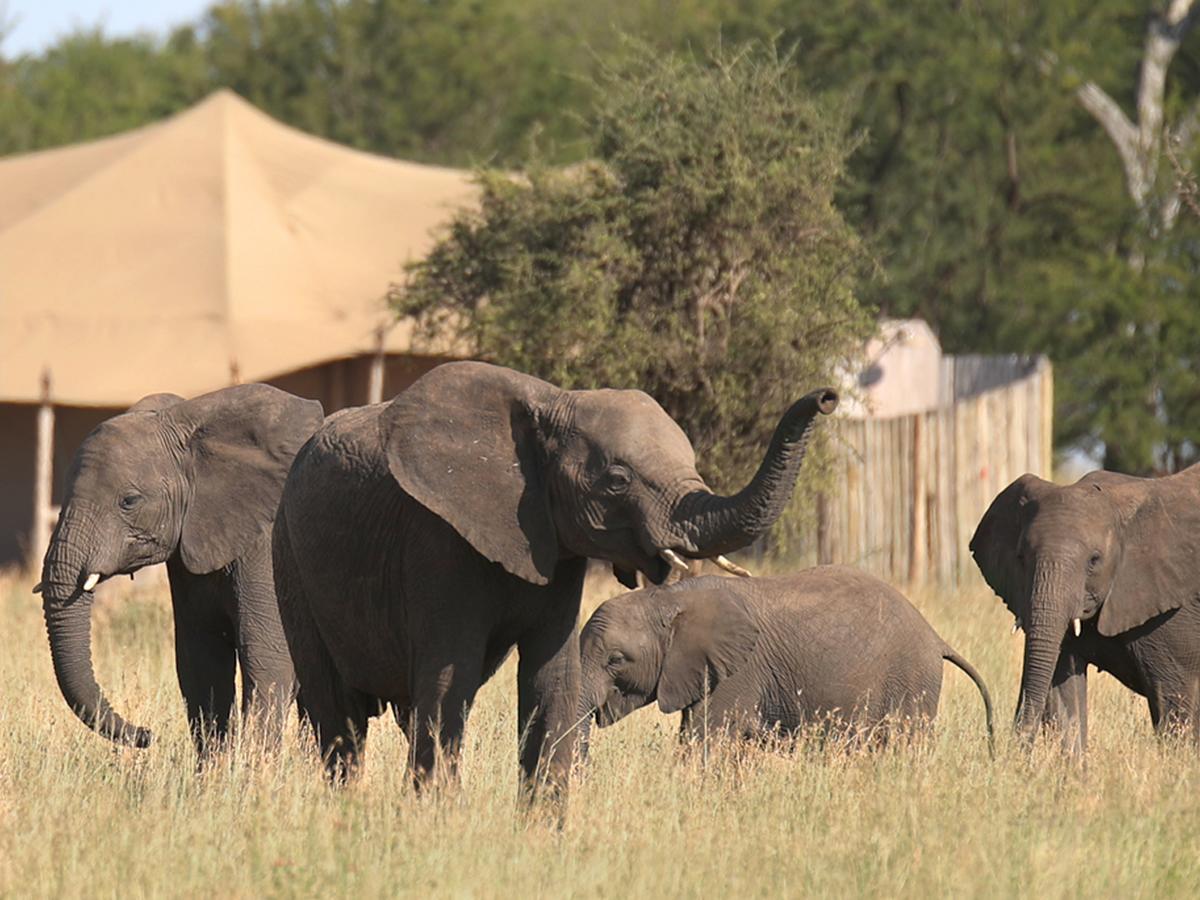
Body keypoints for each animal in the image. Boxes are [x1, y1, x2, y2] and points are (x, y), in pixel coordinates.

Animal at [37, 384, 324, 758]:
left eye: (129, 501)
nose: (147, 735)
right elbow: (200, 661)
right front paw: (214, 771)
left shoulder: (266, 544)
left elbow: (267, 658)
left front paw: (254, 769)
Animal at [271, 362, 835, 792]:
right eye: (617, 480)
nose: (828, 396)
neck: (552, 404)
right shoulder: (435, 539)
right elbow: (448, 682)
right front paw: (436, 825)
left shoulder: (557, 548)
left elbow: (552, 678)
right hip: (289, 555)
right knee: (340, 718)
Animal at [578, 566, 993, 748]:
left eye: (616, 660)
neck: (669, 598)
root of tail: (936, 638)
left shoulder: (735, 675)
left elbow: (703, 742)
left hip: (909, 680)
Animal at [969, 465, 1200, 753]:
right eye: (1021, 558)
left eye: (1094, 560)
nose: (1007, 751)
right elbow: (1063, 691)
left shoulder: (1173, 611)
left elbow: (1175, 699)